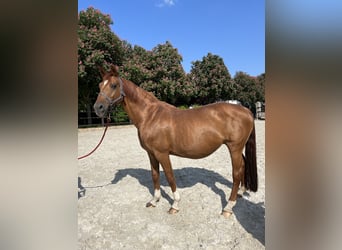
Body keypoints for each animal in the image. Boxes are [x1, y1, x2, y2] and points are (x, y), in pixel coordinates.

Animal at [93, 64, 256, 217]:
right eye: (100, 85)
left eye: (114, 85)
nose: (98, 108)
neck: (149, 116)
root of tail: (246, 110)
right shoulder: (151, 153)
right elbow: (155, 175)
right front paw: (154, 200)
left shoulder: (162, 153)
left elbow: (170, 176)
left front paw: (175, 205)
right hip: (237, 148)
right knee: (243, 165)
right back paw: (240, 193)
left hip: (234, 148)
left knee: (236, 172)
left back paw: (228, 207)